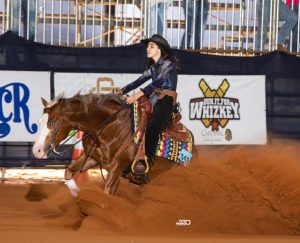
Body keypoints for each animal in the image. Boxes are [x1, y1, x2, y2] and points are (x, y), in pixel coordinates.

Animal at [31, 93, 190, 196]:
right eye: (40, 122)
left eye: (51, 123)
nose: (36, 151)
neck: (108, 126)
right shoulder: (92, 157)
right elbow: (68, 172)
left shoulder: (117, 167)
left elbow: (107, 192)